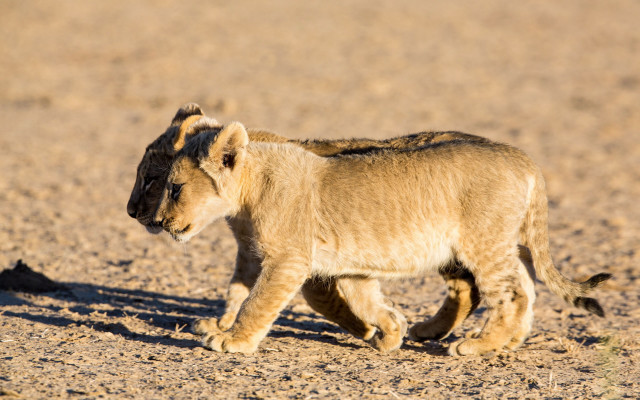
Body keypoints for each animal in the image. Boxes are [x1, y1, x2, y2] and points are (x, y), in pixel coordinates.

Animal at [153, 119, 611, 356]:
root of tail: (523, 159)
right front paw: (390, 334)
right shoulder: (350, 266)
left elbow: (256, 302)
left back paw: (478, 345)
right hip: (504, 241)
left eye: (175, 188)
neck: (253, 185)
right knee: (526, 287)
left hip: (483, 241)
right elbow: (367, 302)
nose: (161, 222)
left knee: (511, 293)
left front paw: (232, 340)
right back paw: (506, 340)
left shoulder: (288, 260)